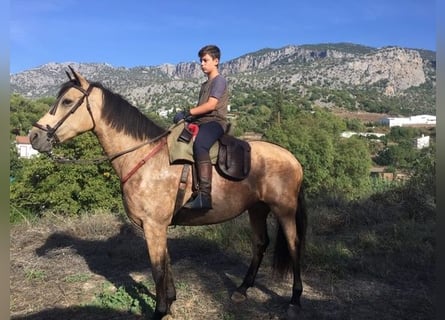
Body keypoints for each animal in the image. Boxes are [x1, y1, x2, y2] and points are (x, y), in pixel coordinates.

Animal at [27, 67, 306, 320]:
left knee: (294, 245)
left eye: (67, 101)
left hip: (284, 210)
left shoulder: (153, 226)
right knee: (260, 244)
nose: (34, 135)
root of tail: (292, 158)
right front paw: (171, 301)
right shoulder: (158, 226)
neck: (143, 158)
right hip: (256, 209)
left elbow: (158, 269)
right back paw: (242, 289)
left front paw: (160, 311)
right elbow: (167, 263)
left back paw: (294, 300)